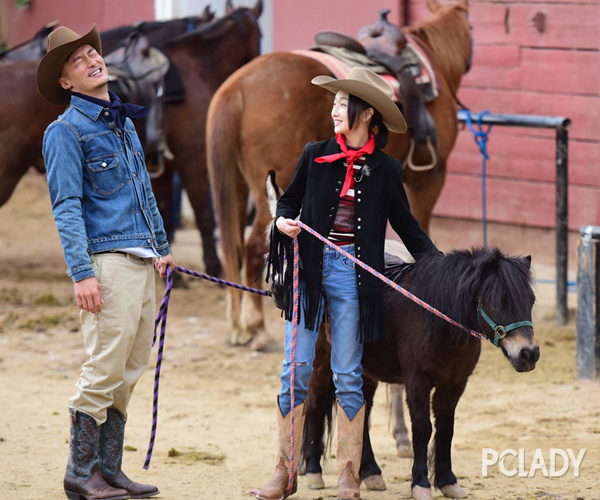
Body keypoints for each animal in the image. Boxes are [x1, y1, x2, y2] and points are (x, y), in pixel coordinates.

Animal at [206, 0, 474, 346]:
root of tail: (235, 87)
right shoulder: (429, 178)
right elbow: (420, 223)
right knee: (254, 246)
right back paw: (257, 328)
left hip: (237, 186)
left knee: (235, 246)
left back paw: (240, 324)